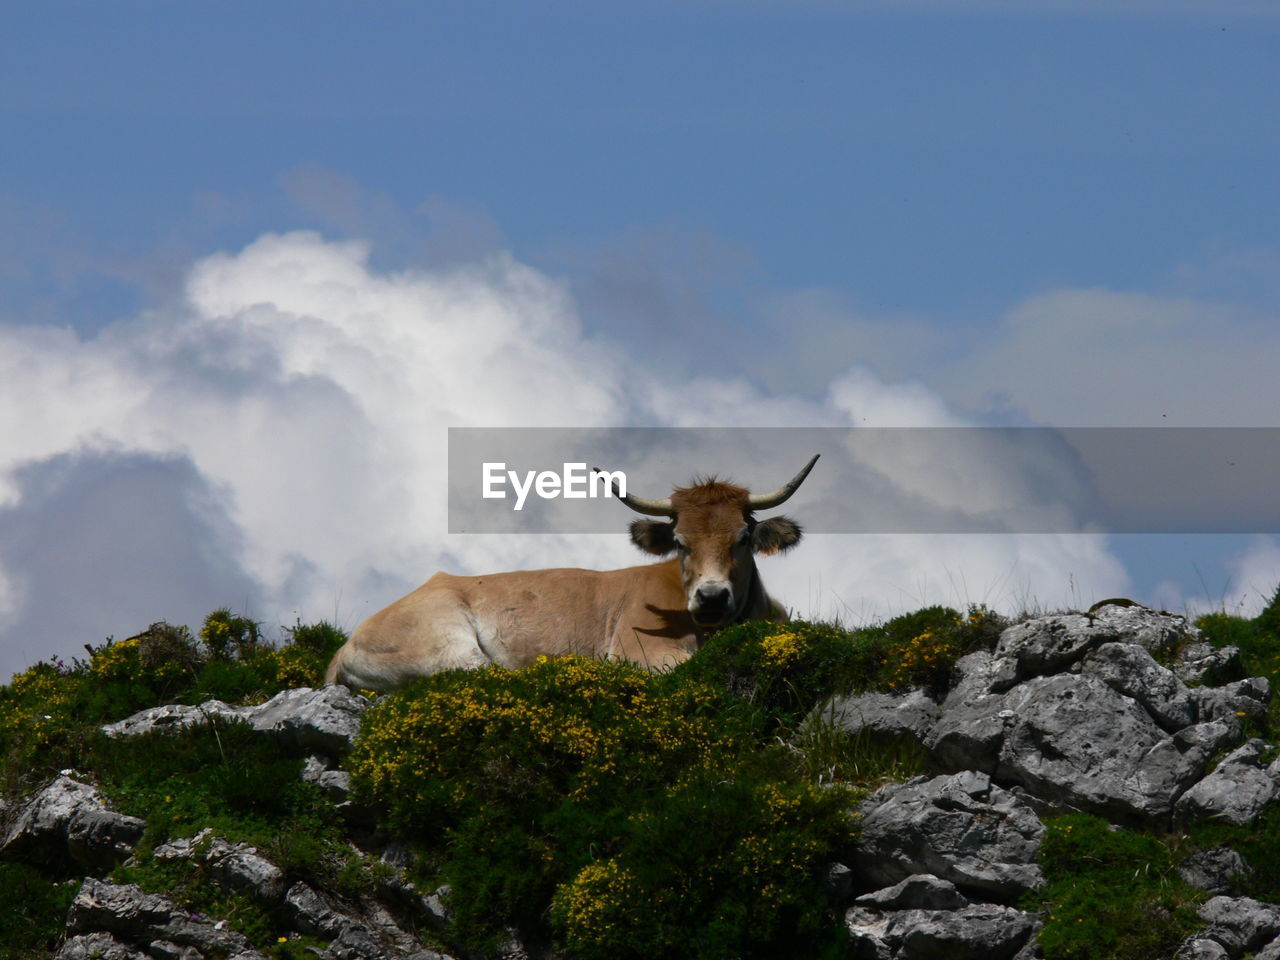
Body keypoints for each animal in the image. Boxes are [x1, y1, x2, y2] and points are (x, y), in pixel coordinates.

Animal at [325, 458, 814, 691]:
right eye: (681, 541)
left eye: (743, 538)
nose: (711, 597)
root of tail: (347, 644)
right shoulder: (639, 652)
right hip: (444, 645)